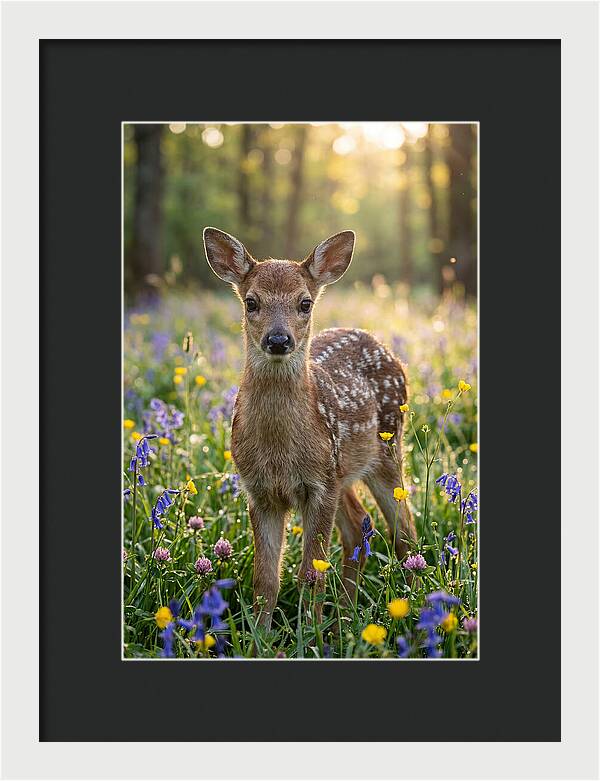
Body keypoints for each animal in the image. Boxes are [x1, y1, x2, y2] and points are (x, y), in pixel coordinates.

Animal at [203, 227, 415, 630]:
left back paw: (412, 606)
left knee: (404, 532)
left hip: (385, 451)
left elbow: (311, 573)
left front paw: (309, 633)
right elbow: (265, 578)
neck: (278, 451)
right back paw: (346, 617)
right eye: (251, 302)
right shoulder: (260, 490)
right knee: (358, 526)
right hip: (342, 471)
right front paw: (261, 635)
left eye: (304, 303)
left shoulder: (318, 486)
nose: (278, 339)